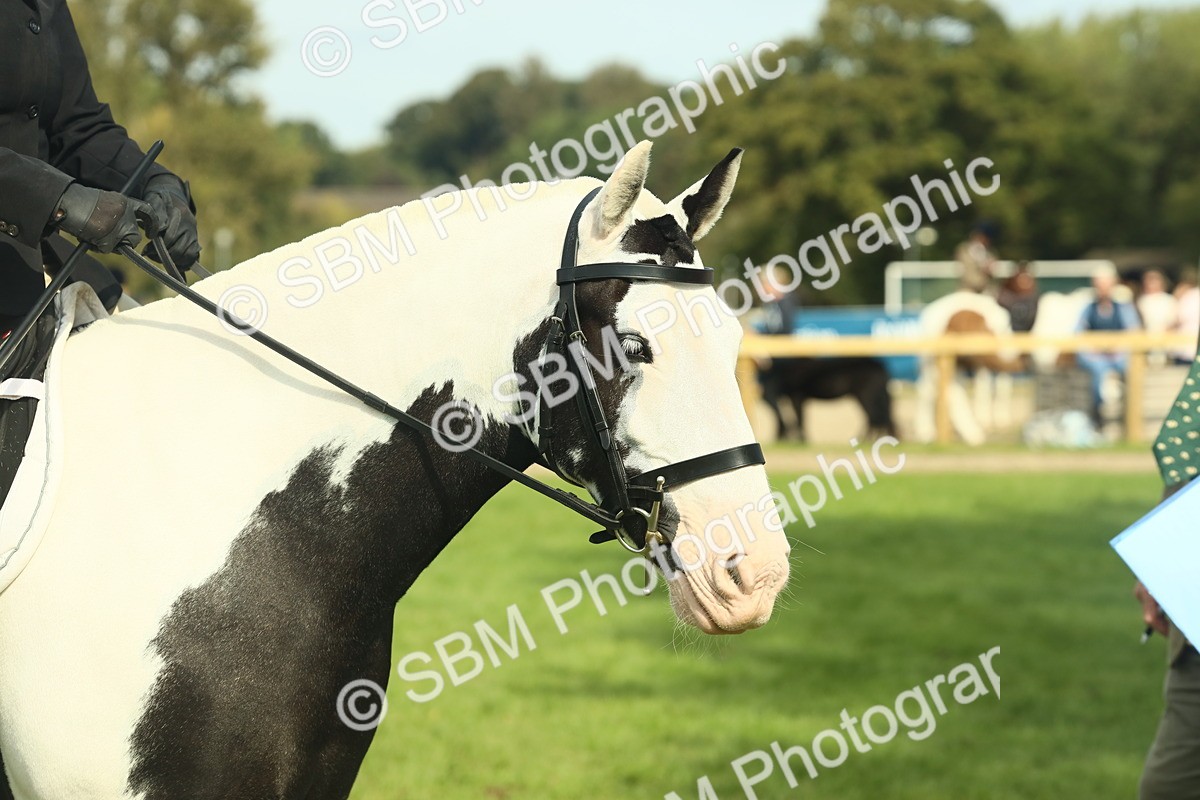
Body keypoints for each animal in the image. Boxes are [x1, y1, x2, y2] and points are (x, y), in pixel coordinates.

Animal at [761, 357, 896, 442]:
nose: (764, 395)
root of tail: (880, 366)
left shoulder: (798, 396)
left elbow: (800, 419)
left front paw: (803, 439)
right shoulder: (798, 398)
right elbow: (799, 419)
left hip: (866, 395)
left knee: (875, 417)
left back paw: (866, 439)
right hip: (867, 396)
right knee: (878, 417)